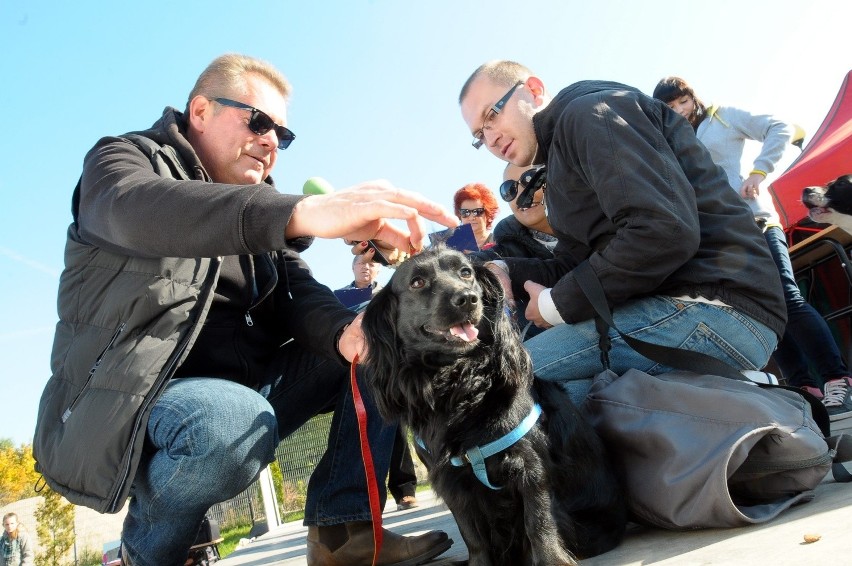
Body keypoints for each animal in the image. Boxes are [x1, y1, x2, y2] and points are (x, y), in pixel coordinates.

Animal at [360, 247, 624, 566]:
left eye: (466, 273)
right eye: (417, 282)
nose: (467, 298)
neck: (459, 385)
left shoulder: (529, 467)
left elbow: (539, 522)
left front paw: (551, 560)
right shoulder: (452, 481)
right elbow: (472, 536)